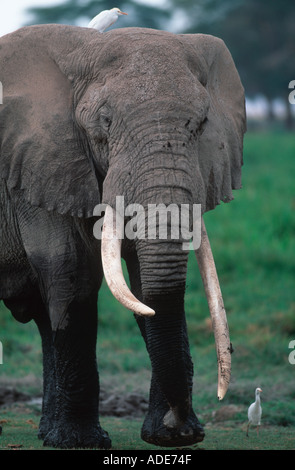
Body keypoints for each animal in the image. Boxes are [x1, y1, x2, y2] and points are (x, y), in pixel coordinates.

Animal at [0, 24, 246, 448]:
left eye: (200, 125)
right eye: (105, 122)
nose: (179, 421)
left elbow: (145, 286)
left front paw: (173, 436)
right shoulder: (35, 169)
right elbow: (72, 272)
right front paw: (82, 443)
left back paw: (48, 433)